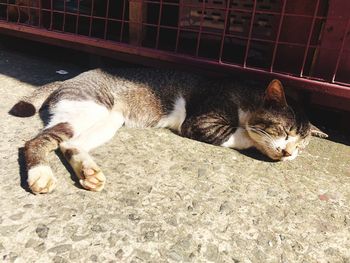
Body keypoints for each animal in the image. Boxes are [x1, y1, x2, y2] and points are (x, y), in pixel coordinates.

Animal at [11, 69, 328, 195]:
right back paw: (40, 175)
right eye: (284, 130)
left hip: (108, 121)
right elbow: (245, 135)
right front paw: (260, 141)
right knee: (36, 141)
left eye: (302, 145)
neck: (244, 99)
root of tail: (73, 77)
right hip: (89, 110)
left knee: (70, 145)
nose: (289, 153)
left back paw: (89, 171)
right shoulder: (203, 124)